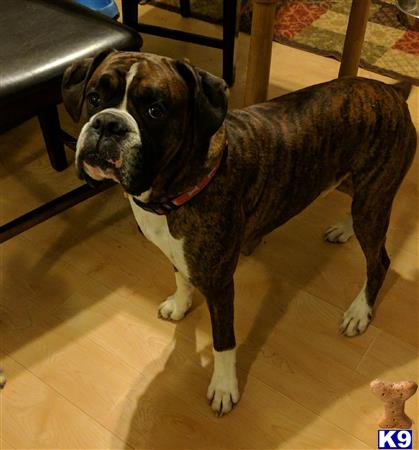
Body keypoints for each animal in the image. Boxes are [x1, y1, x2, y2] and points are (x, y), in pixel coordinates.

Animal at [60, 49, 418, 414]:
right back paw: (344, 230)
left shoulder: (219, 286)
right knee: (354, 205)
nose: (108, 123)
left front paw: (223, 386)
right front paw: (180, 305)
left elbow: (223, 341)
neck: (175, 190)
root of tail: (391, 90)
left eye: (155, 111)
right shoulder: (178, 253)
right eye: (94, 98)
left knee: (379, 261)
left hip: (374, 199)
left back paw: (360, 311)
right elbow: (180, 278)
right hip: (359, 188)